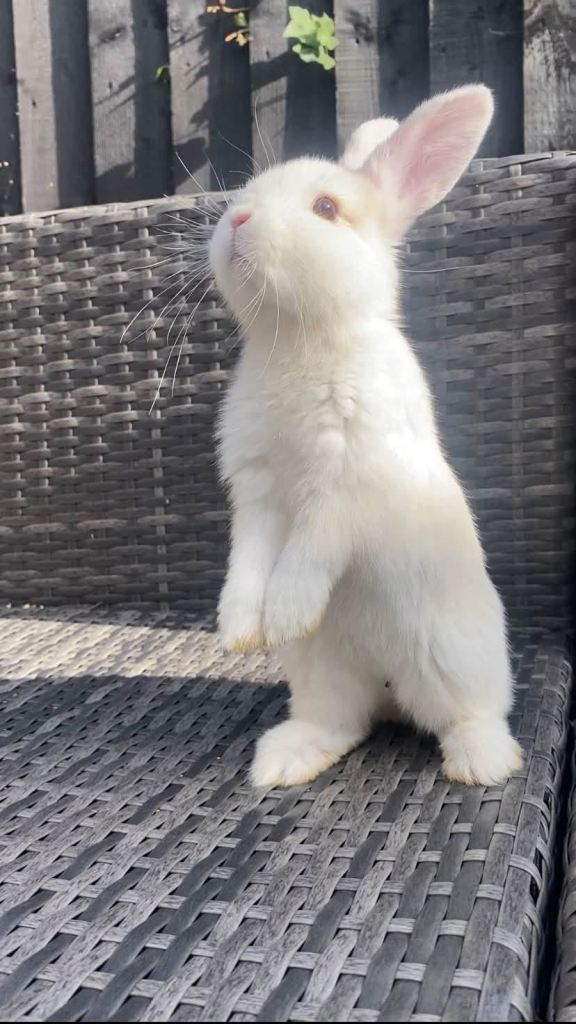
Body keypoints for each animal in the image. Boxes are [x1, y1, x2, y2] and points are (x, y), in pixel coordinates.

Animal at [209, 85, 522, 789]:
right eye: (250, 190)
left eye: (326, 208)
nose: (237, 218)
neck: (298, 342)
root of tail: (388, 689)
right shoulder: (256, 492)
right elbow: (249, 559)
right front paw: (241, 630)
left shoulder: (350, 484)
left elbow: (310, 551)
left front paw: (284, 612)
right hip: (320, 673)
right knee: (343, 723)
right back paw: (284, 760)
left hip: (451, 654)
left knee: (470, 712)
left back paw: (484, 764)